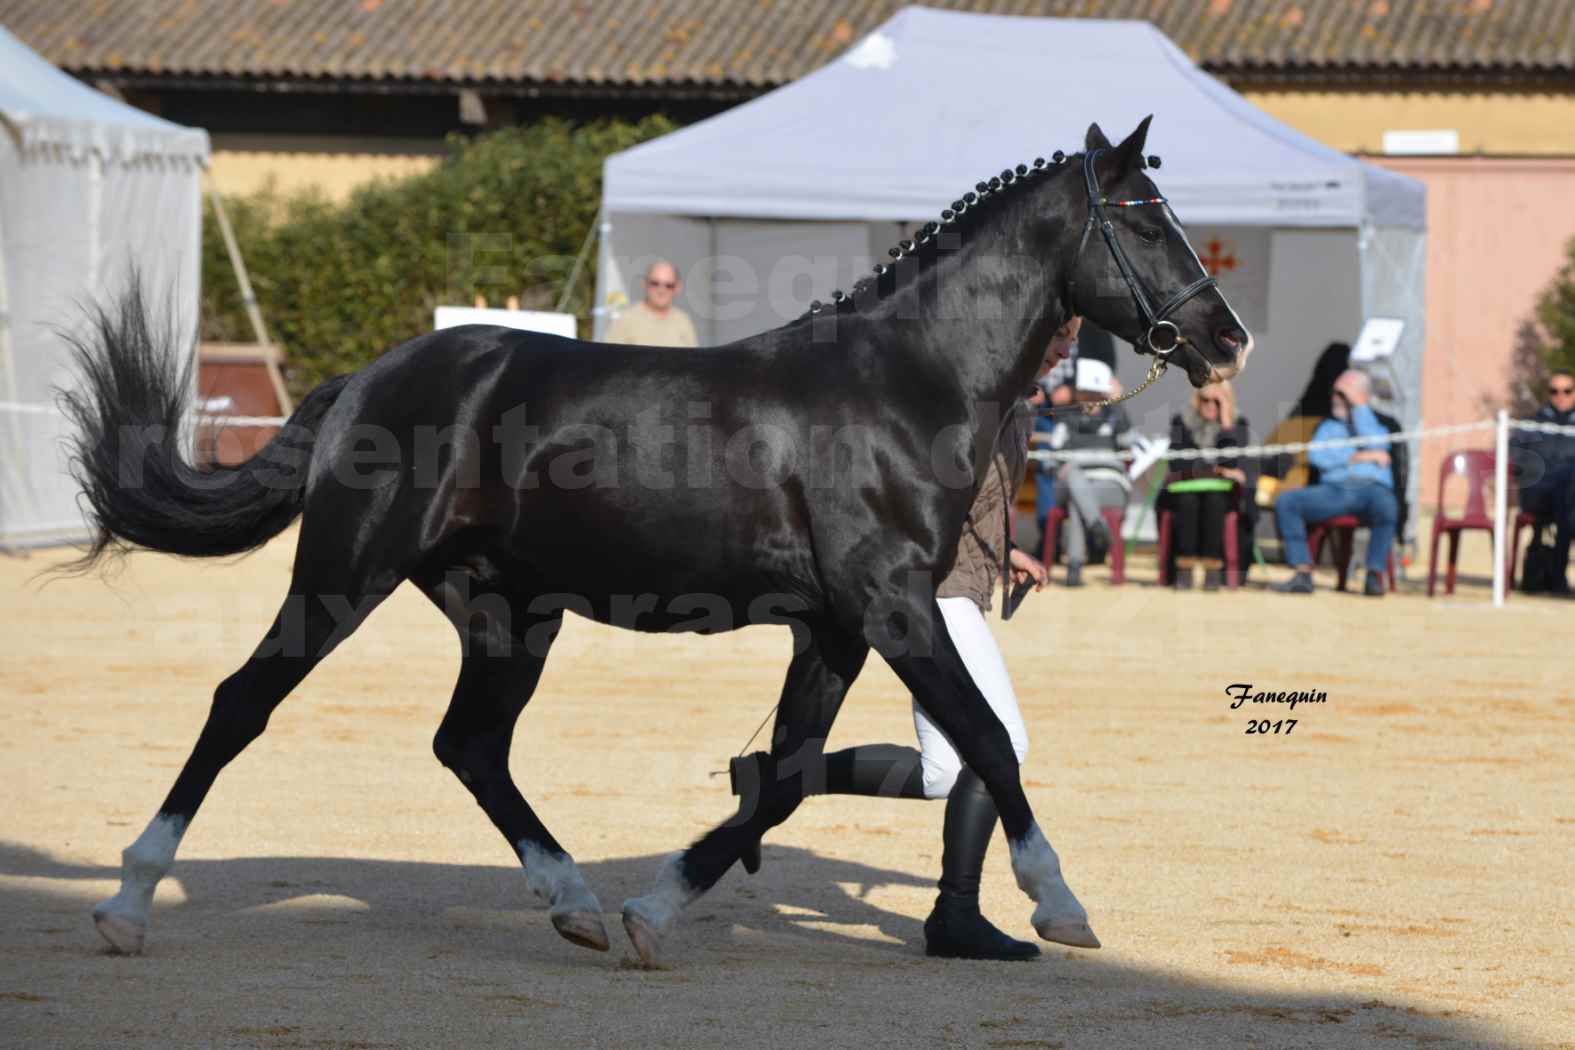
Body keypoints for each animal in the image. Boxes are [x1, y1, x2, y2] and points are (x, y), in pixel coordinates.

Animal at [64, 118, 1253, 963]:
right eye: (1143, 217)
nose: (1225, 337)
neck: (898, 383)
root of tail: (369, 377)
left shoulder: (835, 628)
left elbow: (788, 773)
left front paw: (654, 909)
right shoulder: (894, 608)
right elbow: (988, 744)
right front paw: (1060, 903)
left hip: (509, 613)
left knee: (471, 747)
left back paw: (577, 904)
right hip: (345, 576)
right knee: (242, 704)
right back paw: (127, 902)